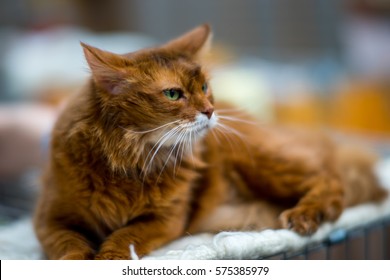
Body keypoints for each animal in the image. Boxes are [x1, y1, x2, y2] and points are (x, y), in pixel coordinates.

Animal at [34, 24, 386, 260]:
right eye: (173, 93)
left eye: (204, 87)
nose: (210, 110)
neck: (131, 161)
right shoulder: (49, 220)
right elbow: (67, 246)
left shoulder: (166, 220)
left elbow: (125, 237)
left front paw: (108, 256)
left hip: (260, 157)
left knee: (332, 183)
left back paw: (307, 214)